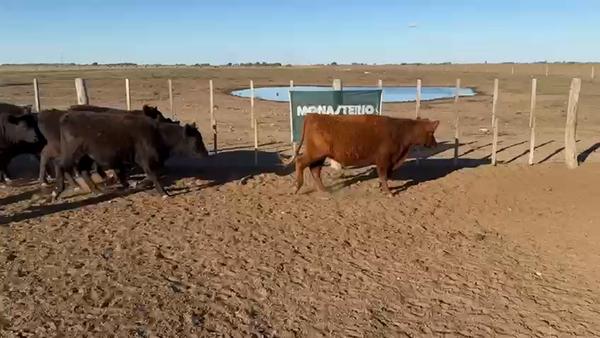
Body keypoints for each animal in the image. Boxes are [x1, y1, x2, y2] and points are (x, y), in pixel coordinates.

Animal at [52, 111, 211, 201]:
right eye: (196, 139)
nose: (205, 154)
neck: (159, 134)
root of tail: (67, 116)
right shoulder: (146, 160)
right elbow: (154, 176)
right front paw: (164, 193)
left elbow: (149, 176)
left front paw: (136, 184)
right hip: (72, 153)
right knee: (59, 164)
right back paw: (56, 192)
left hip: (86, 156)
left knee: (84, 171)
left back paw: (97, 191)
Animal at [282, 115, 440, 194]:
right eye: (431, 132)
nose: (435, 144)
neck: (400, 132)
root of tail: (312, 115)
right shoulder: (384, 160)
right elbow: (384, 175)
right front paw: (388, 191)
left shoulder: (388, 162)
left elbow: (385, 175)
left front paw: (381, 188)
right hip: (316, 153)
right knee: (301, 162)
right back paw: (297, 187)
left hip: (320, 156)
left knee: (315, 170)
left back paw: (324, 190)